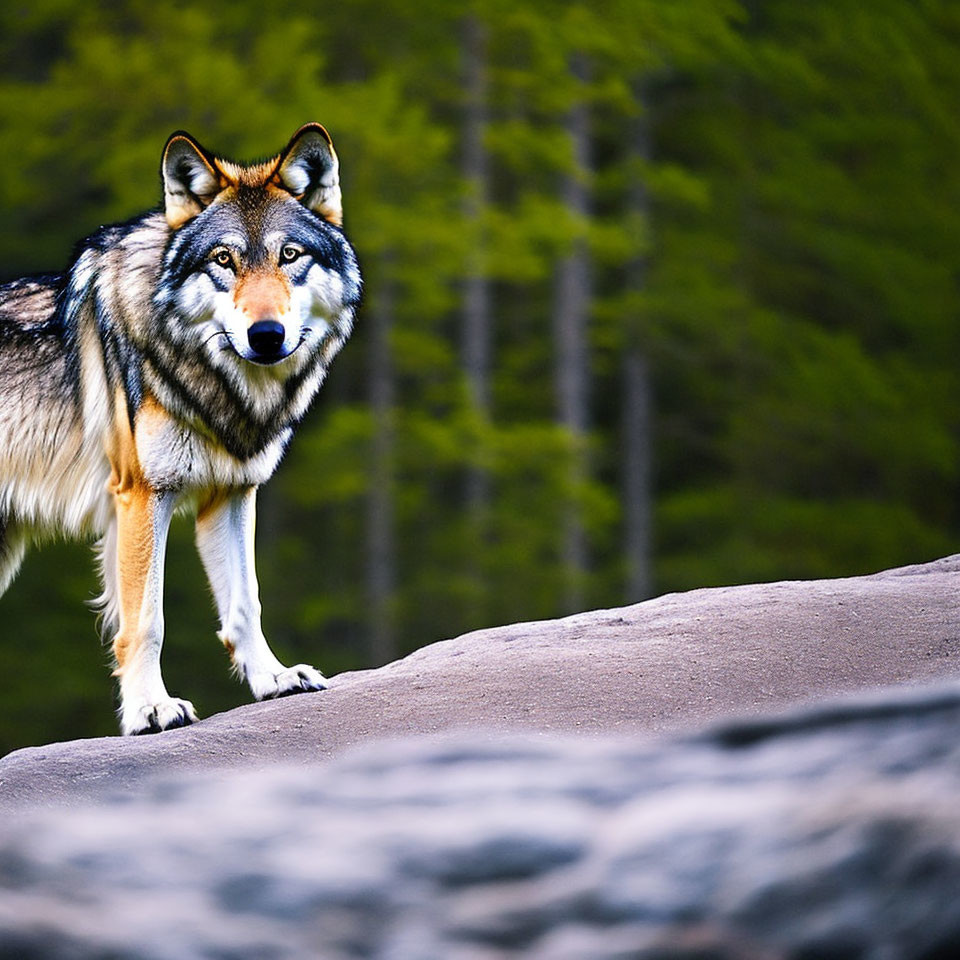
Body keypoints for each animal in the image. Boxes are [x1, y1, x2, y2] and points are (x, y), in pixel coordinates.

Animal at [0, 120, 362, 736]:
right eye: (223, 259)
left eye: (290, 255)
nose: (266, 335)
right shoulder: (144, 495)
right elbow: (146, 620)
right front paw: (150, 708)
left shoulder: (233, 493)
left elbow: (245, 603)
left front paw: (274, 678)